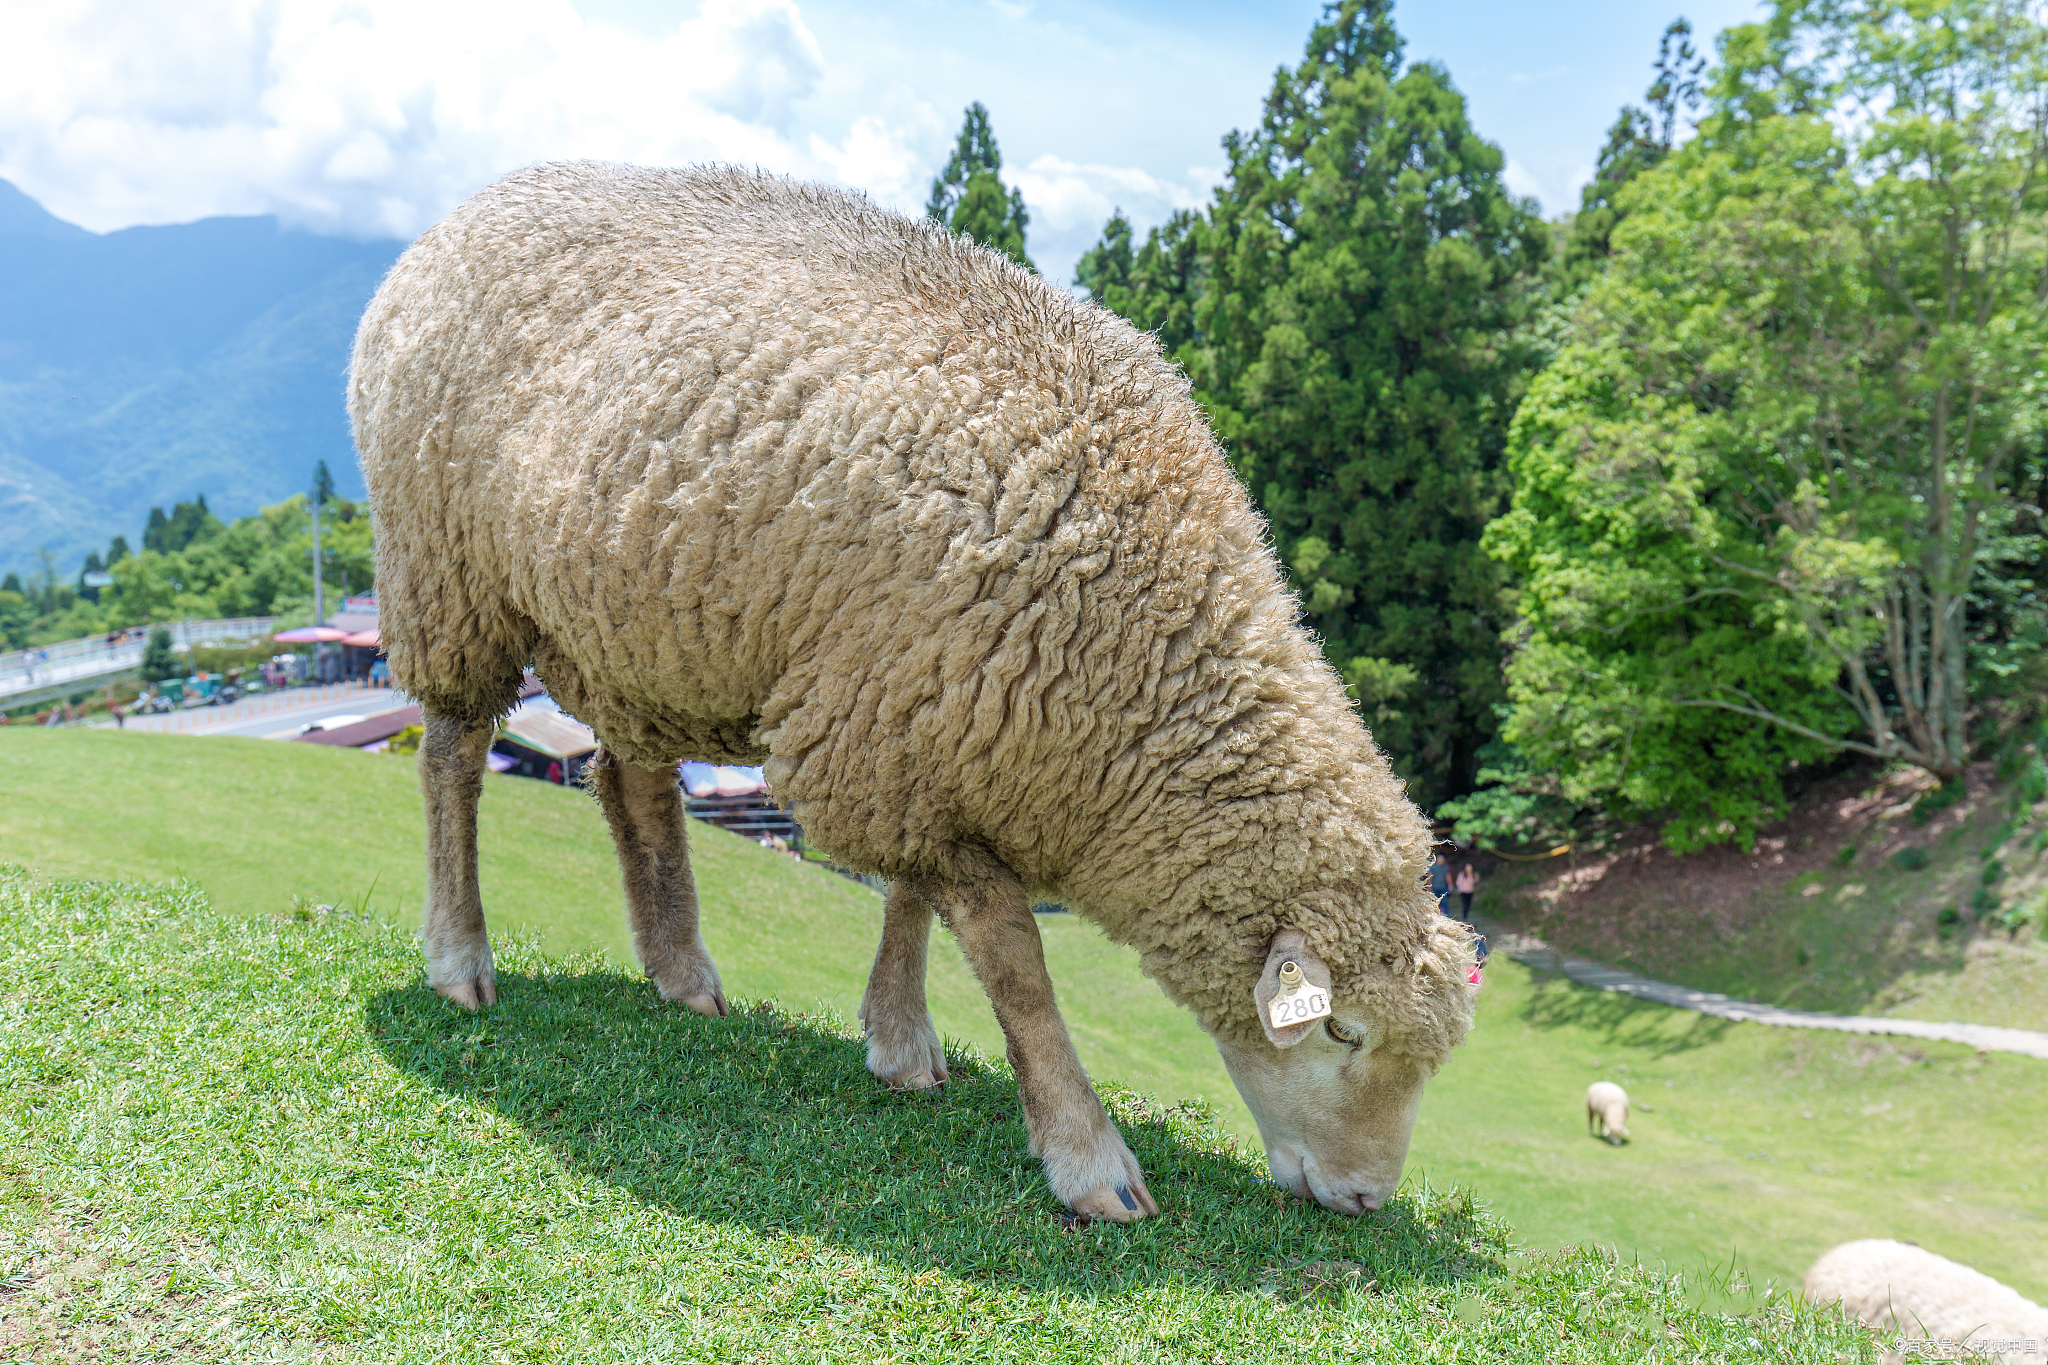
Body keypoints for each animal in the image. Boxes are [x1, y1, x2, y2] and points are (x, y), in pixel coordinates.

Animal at [348, 160, 1474, 1227]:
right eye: (1341, 1029)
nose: (1365, 1199)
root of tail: (462, 212)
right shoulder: (891, 731)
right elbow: (1013, 960)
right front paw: (1086, 1155)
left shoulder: (918, 724)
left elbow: (908, 899)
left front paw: (899, 1040)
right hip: (448, 572)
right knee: (452, 756)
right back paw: (460, 958)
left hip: (639, 624)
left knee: (630, 786)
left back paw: (681, 974)